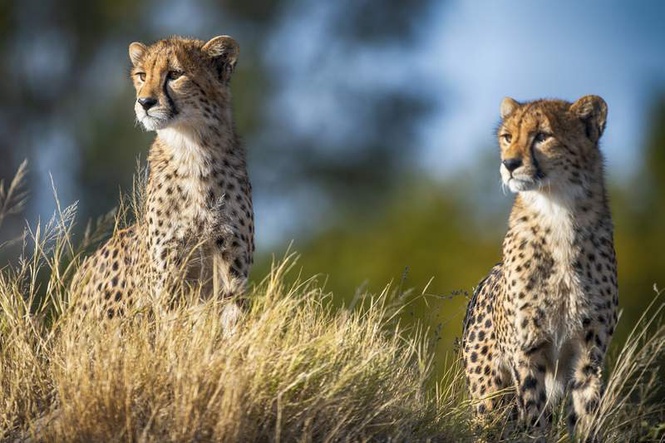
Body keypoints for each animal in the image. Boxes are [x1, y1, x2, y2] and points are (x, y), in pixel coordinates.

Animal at [70, 35, 254, 321]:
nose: (145, 102)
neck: (191, 150)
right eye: (142, 75)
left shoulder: (232, 267)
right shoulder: (167, 273)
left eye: (175, 74)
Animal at [461, 95, 618, 441]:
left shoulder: (589, 357)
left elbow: (586, 417)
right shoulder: (528, 352)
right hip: (489, 396)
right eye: (507, 137)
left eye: (542, 136)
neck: (557, 211)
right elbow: (534, 416)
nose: (509, 164)